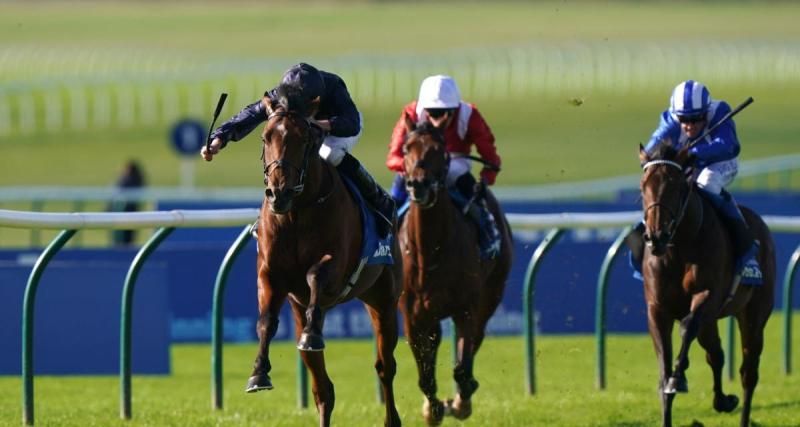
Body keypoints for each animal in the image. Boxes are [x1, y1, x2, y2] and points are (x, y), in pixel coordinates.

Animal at [247, 88, 404, 426]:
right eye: (266, 137)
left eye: (305, 139)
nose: (279, 192)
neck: (296, 212)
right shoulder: (270, 275)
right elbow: (266, 322)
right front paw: (258, 374)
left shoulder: (336, 266)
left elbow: (315, 274)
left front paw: (312, 333)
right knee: (323, 389)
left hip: (383, 300)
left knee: (385, 367)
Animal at [398, 118, 512, 426]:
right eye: (406, 148)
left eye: (439, 150)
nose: (419, 185)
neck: (430, 252)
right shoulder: (412, 316)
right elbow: (425, 375)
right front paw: (433, 407)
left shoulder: (466, 308)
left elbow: (462, 365)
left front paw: (459, 401)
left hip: (491, 294)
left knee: (476, 339)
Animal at [636, 145, 776, 427]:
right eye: (643, 186)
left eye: (676, 186)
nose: (656, 237)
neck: (679, 247)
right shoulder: (657, 308)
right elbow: (664, 368)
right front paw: (670, 385)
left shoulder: (708, 295)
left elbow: (687, 326)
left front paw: (679, 377)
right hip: (711, 321)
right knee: (716, 354)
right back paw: (723, 401)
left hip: (754, 313)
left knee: (749, 371)